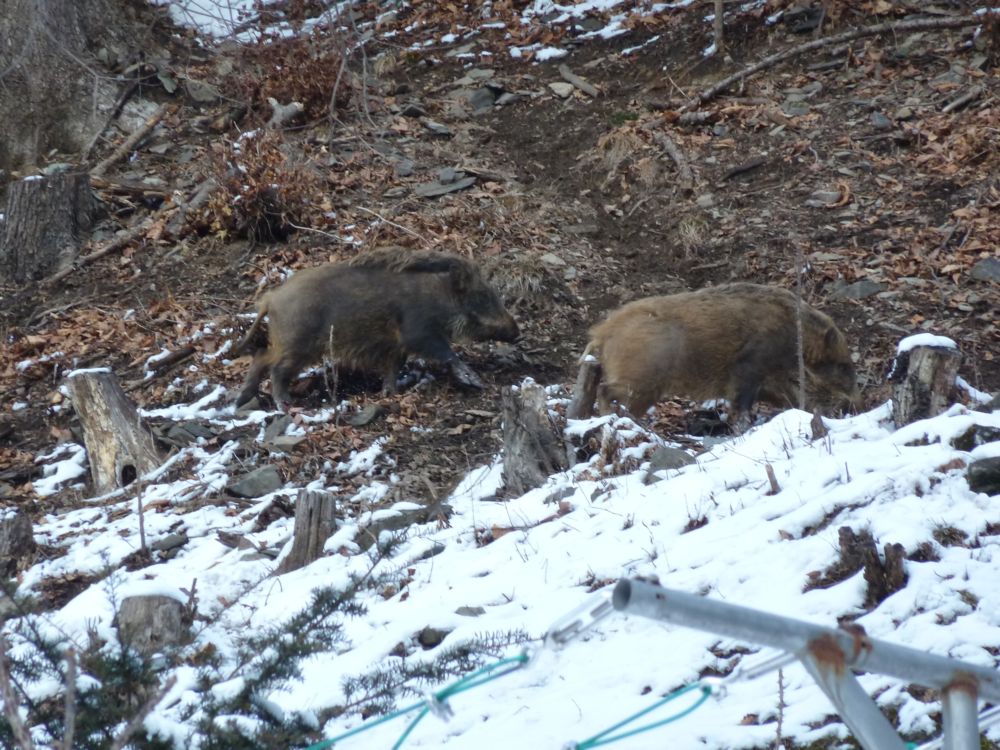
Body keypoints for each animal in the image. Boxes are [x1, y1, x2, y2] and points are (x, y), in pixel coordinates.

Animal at [234, 247, 519, 409]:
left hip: (291, 344)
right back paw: (284, 404)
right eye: (482, 295)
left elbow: (392, 369)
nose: (517, 331)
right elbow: (448, 353)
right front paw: (475, 382)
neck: (439, 297)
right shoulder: (418, 333)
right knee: (275, 368)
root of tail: (271, 299)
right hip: (297, 345)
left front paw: (390, 393)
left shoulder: (397, 346)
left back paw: (242, 400)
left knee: (261, 357)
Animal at [584, 283, 859, 419]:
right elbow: (742, 403)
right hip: (642, 376)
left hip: (649, 387)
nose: (855, 403)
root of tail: (602, 332)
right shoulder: (749, 367)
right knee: (606, 390)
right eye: (843, 365)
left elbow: (790, 396)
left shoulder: (770, 379)